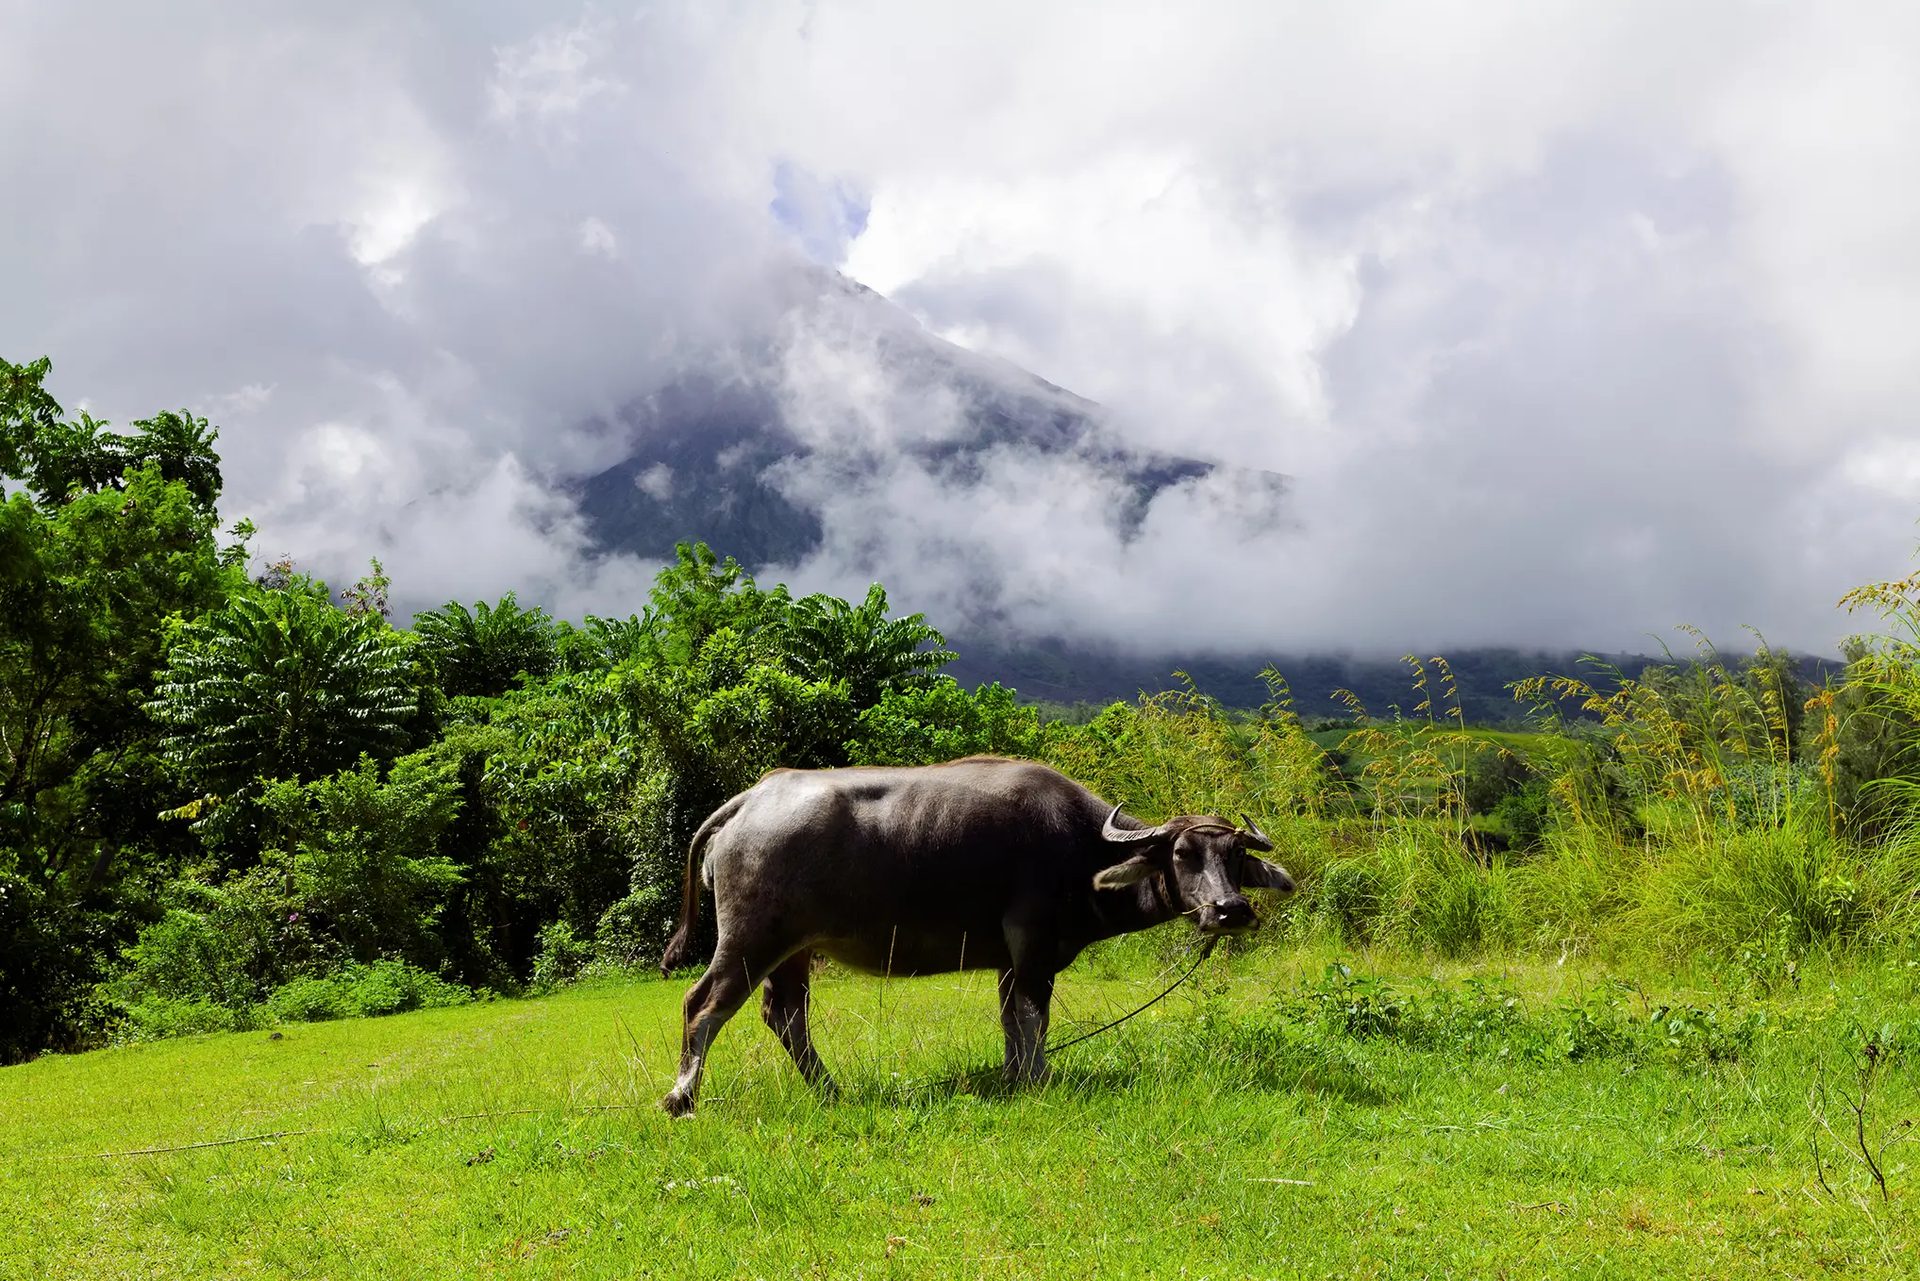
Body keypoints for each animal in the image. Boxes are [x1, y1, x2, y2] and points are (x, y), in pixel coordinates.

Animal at [652, 756, 1297, 1113]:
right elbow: (1034, 1016)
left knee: (784, 1015)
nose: (1228, 910)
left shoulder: (1011, 959)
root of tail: (750, 799)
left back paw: (830, 1091)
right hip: (752, 940)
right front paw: (1038, 1080)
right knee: (703, 1004)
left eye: (1237, 856)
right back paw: (683, 1099)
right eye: (1183, 855)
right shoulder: (1034, 946)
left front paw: (1013, 1076)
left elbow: (1012, 1019)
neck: (1082, 848)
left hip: (795, 950)